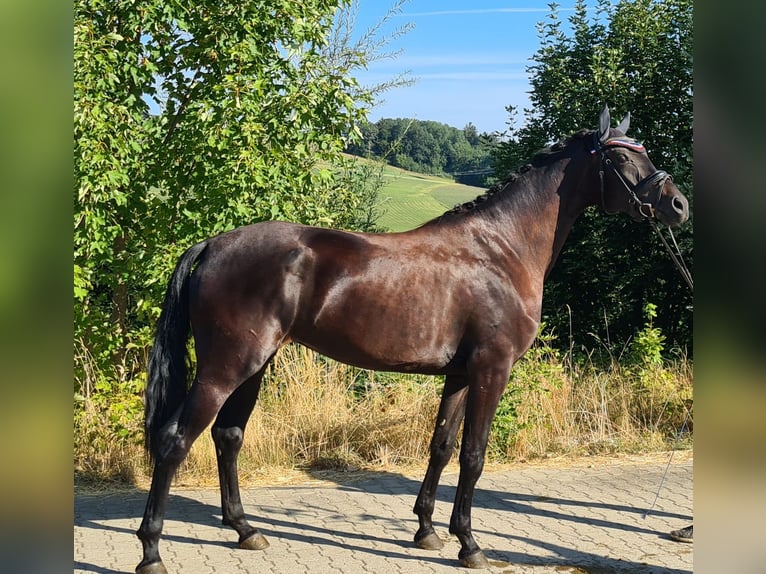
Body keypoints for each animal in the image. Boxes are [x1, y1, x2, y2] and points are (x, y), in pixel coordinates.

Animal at [135, 106, 692, 572]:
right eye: (621, 156)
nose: (679, 204)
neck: (501, 249)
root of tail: (213, 244)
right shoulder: (492, 369)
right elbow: (474, 455)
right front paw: (470, 545)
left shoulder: (461, 374)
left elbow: (442, 446)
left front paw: (427, 530)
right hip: (226, 367)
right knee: (175, 441)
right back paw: (152, 550)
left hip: (254, 365)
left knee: (228, 437)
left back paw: (245, 529)